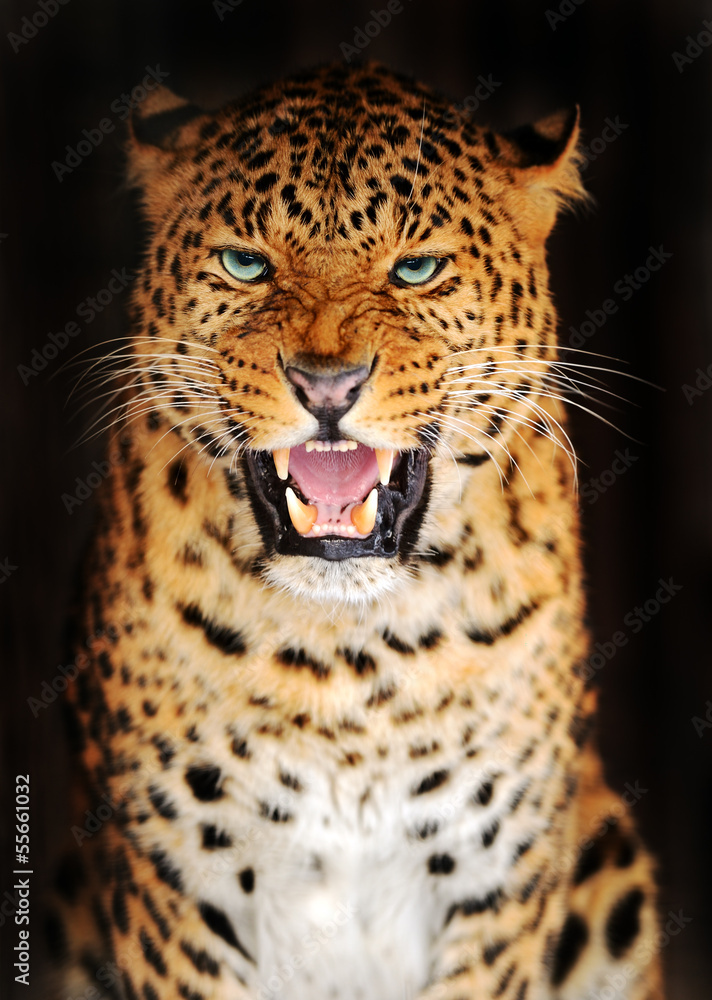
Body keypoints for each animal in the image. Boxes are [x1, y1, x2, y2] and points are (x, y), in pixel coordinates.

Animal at [45, 61, 665, 1000]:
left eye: (416, 269)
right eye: (245, 263)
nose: (326, 384)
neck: (352, 663)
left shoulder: (498, 889)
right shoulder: (177, 890)